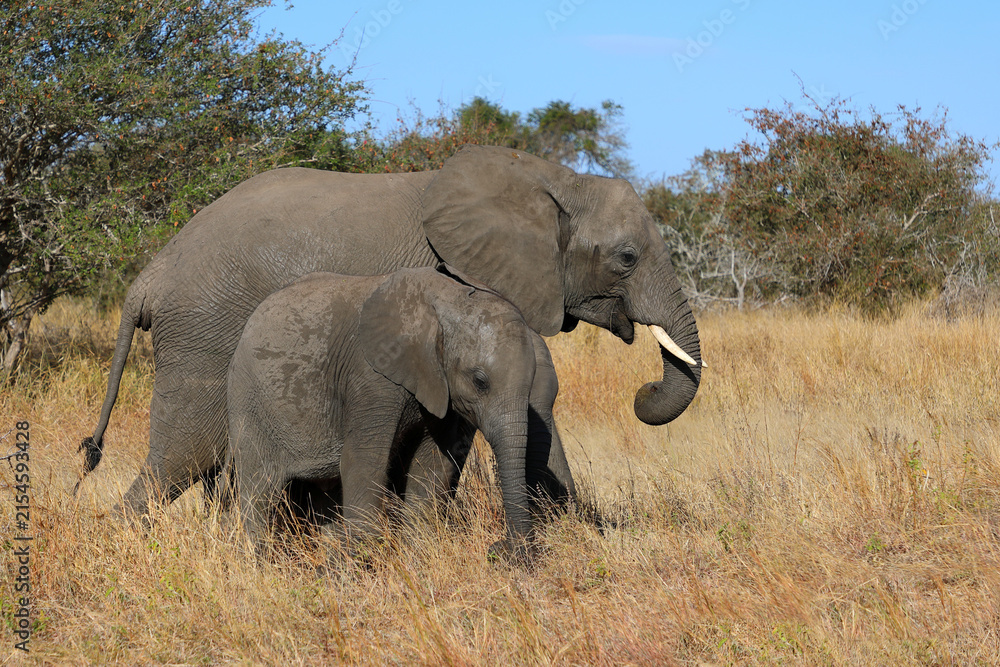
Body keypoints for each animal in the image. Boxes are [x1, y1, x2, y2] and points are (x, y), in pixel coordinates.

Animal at [78, 144, 703, 518]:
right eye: (626, 258)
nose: (645, 391)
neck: (552, 179)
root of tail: (151, 273)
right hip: (204, 329)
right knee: (184, 455)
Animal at [223, 267, 546, 559]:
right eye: (480, 381)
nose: (499, 550)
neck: (447, 299)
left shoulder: (440, 387)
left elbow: (431, 464)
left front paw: (415, 553)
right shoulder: (371, 377)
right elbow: (364, 460)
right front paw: (357, 559)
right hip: (249, 404)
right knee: (259, 492)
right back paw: (259, 563)